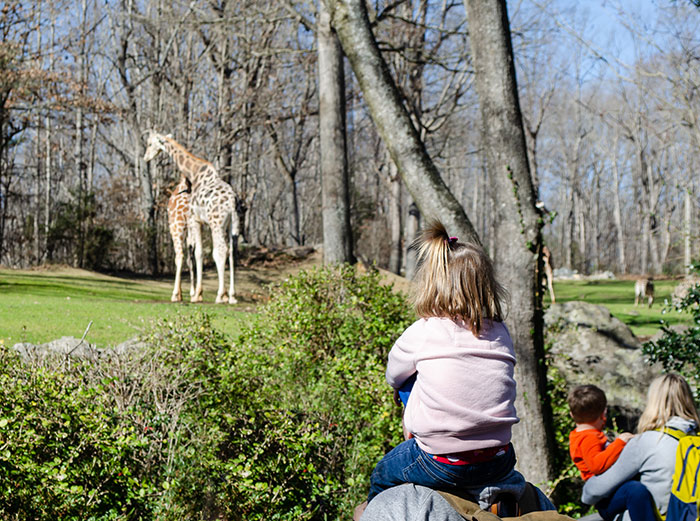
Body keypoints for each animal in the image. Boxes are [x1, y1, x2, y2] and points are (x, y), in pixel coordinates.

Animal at [143, 132, 241, 302]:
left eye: (150, 144)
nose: (145, 158)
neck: (195, 174)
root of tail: (231, 203)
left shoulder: (195, 219)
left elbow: (198, 253)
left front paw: (197, 294)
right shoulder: (201, 222)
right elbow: (197, 253)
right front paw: (197, 293)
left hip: (215, 223)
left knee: (218, 250)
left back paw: (219, 295)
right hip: (233, 224)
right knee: (232, 253)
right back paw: (232, 296)